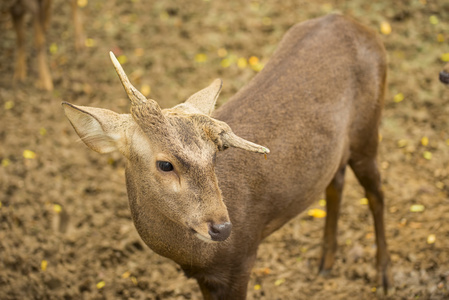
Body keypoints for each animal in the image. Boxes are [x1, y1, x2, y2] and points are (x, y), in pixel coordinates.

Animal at [62, 14, 392, 300]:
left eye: (213, 157)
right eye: (165, 164)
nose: (222, 228)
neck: (196, 258)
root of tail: (357, 24)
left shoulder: (241, 258)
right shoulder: (206, 277)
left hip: (368, 130)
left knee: (376, 192)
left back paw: (383, 277)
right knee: (336, 181)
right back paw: (325, 263)